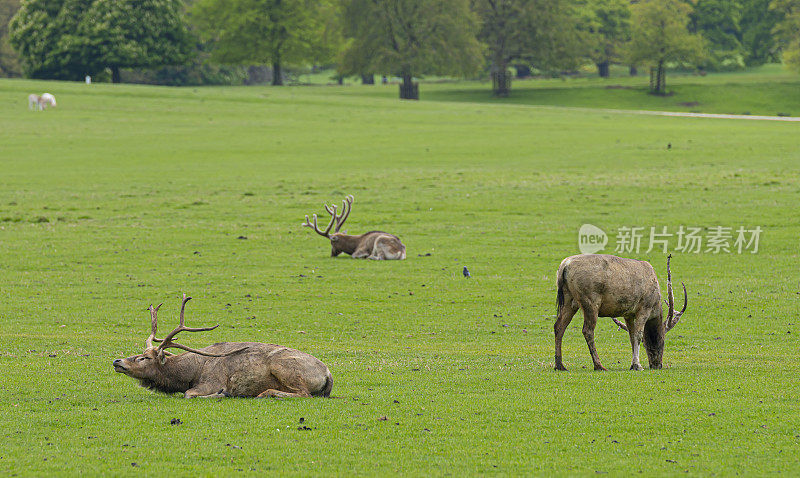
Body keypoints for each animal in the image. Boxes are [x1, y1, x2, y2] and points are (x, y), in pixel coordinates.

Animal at [112, 296, 332, 400]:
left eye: (144, 358)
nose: (117, 361)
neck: (190, 373)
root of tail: (328, 374)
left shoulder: (211, 381)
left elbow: (189, 394)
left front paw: (223, 393)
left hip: (283, 367)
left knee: (304, 393)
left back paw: (264, 393)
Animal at [556, 252, 688, 372]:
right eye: (662, 341)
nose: (657, 364)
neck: (655, 305)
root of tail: (564, 265)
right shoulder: (644, 308)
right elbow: (638, 335)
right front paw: (637, 365)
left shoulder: (628, 314)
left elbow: (631, 336)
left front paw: (633, 364)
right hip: (591, 302)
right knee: (587, 330)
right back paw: (599, 365)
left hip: (568, 300)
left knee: (559, 326)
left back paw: (560, 365)